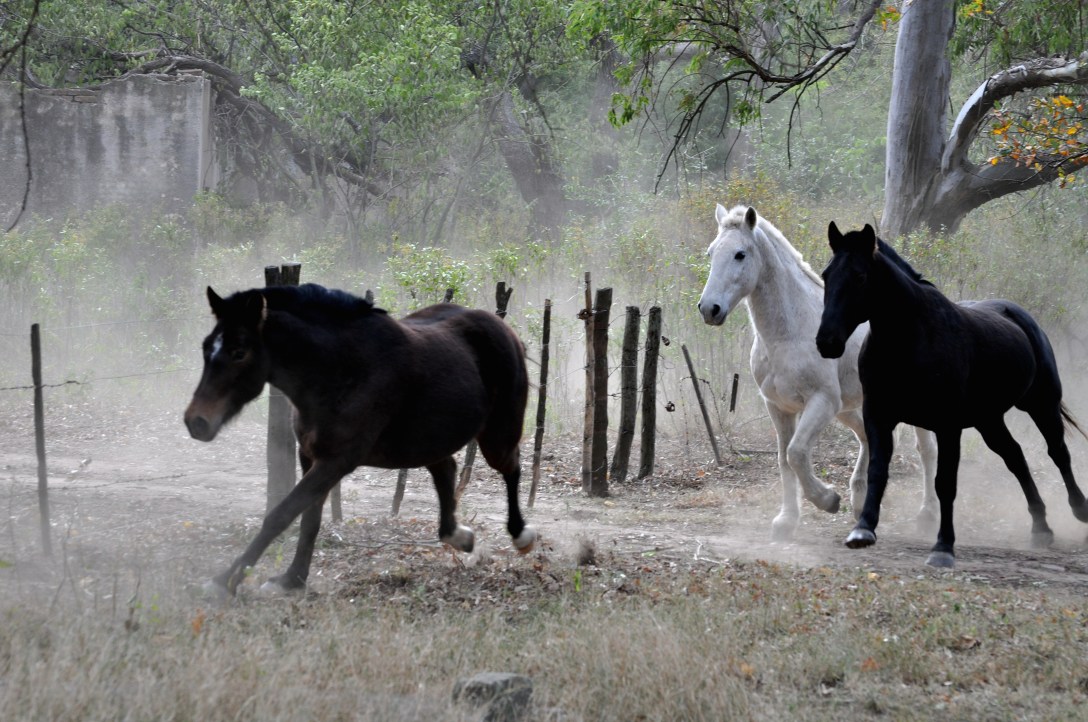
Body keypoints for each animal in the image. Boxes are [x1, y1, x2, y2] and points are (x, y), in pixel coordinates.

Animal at [184, 283, 536, 596]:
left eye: (239, 352)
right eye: (205, 347)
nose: (195, 422)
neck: (341, 370)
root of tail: (502, 327)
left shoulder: (335, 462)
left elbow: (281, 515)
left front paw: (224, 581)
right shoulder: (310, 456)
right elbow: (309, 519)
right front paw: (291, 580)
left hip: (496, 437)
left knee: (512, 467)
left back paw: (521, 534)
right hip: (430, 439)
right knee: (447, 469)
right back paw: (459, 536)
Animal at [697, 204, 938, 541]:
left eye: (740, 254)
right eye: (711, 252)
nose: (710, 309)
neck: (790, 333)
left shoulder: (822, 402)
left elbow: (797, 453)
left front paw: (827, 500)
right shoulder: (779, 407)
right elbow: (785, 460)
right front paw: (786, 521)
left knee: (926, 450)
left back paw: (927, 516)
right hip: (852, 408)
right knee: (869, 439)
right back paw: (860, 504)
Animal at [815, 221, 1088, 567]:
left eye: (860, 276)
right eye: (826, 274)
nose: (827, 341)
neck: (908, 340)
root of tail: (1019, 315)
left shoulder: (947, 426)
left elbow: (945, 483)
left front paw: (943, 547)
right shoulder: (879, 415)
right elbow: (878, 470)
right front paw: (863, 529)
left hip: (1041, 404)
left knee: (1058, 453)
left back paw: (1080, 510)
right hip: (989, 420)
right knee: (1015, 457)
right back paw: (1040, 527)